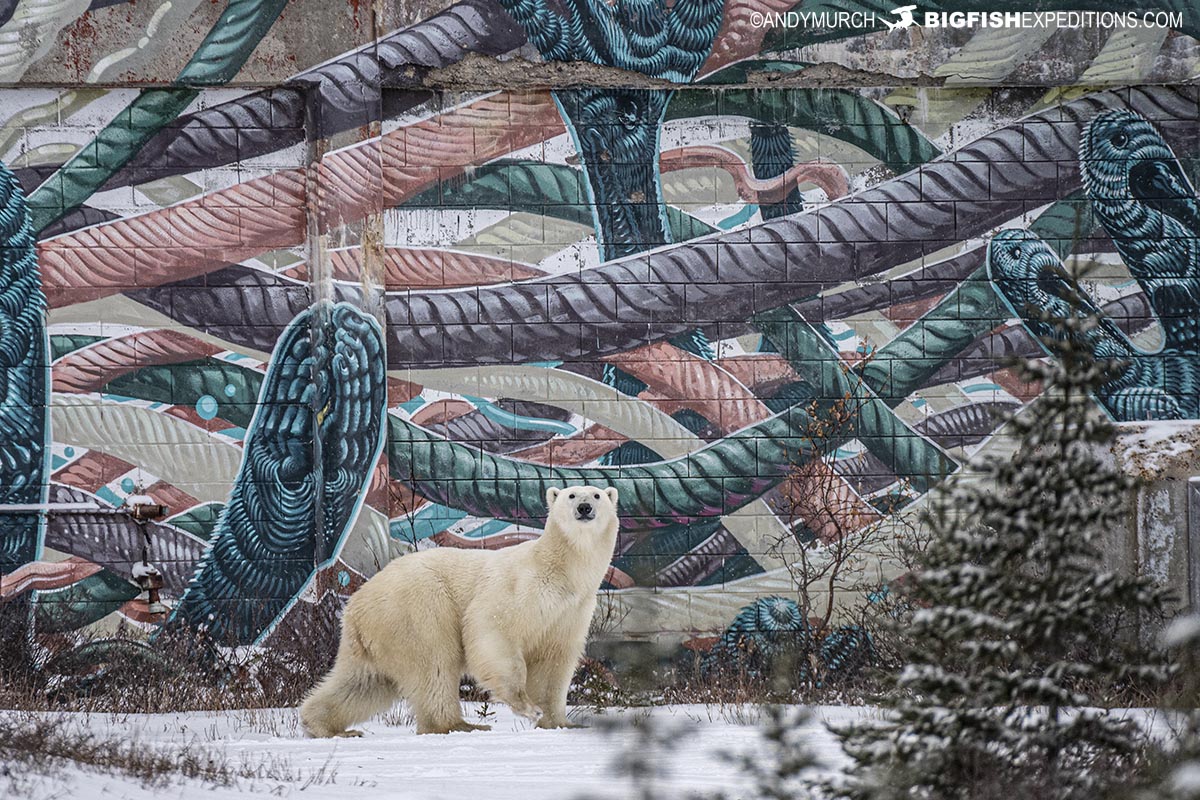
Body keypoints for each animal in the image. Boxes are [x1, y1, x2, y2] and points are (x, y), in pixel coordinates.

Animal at [298, 482, 619, 738]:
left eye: (597, 494)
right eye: (571, 494)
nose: (585, 507)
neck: (561, 569)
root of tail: (357, 603)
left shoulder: (572, 610)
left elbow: (554, 660)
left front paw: (559, 721)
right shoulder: (521, 587)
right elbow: (492, 627)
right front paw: (525, 706)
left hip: (373, 637)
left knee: (364, 681)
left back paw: (326, 725)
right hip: (417, 607)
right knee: (435, 663)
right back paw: (460, 724)